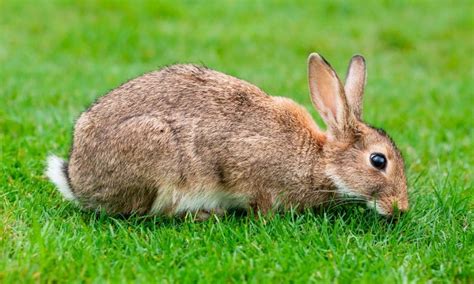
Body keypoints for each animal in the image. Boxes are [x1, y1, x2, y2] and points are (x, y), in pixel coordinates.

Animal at [45, 53, 408, 217]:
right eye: (378, 160)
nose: (401, 208)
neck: (320, 160)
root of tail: (77, 180)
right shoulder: (248, 167)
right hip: (158, 155)